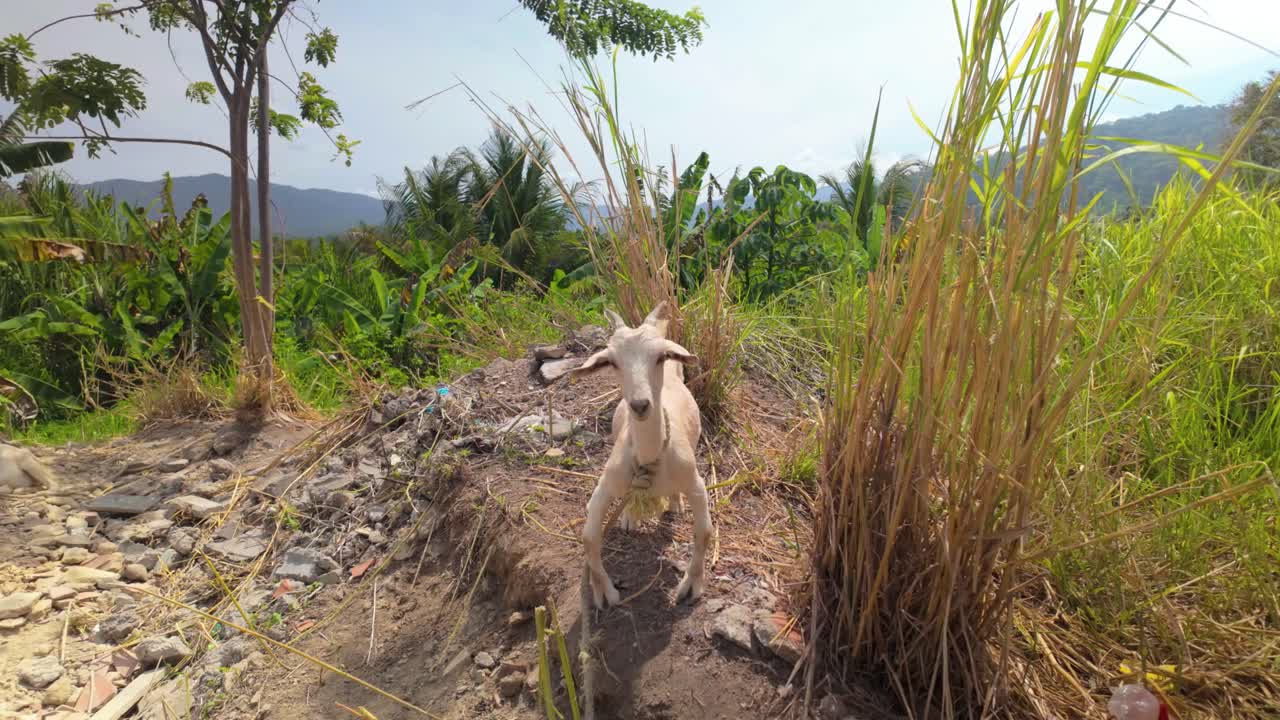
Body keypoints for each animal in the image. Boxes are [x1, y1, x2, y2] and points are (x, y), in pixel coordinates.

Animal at [571, 302, 713, 608]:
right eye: (612, 362)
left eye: (660, 356)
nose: (639, 405)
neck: (649, 456)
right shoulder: (607, 484)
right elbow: (589, 538)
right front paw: (604, 592)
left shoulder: (695, 483)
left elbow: (704, 532)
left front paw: (691, 587)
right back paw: (630, 518)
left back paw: (675, 503)